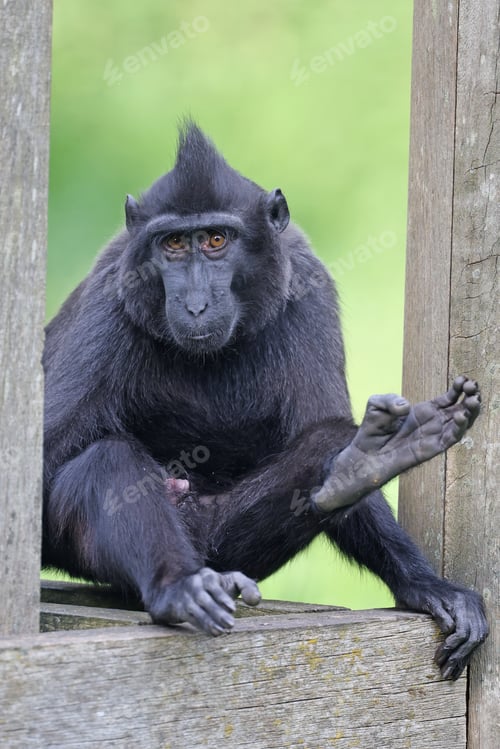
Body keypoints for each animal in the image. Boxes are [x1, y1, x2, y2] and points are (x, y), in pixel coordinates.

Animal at [43, 123, 488, 680]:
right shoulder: (109, 301)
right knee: (106, 461)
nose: (195, 305)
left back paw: (358, 466)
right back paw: (179, 587)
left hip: (228, 545)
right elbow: (42, 472)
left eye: (216, 240)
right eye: (173, 244)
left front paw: (425, 585)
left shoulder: (309, 287)